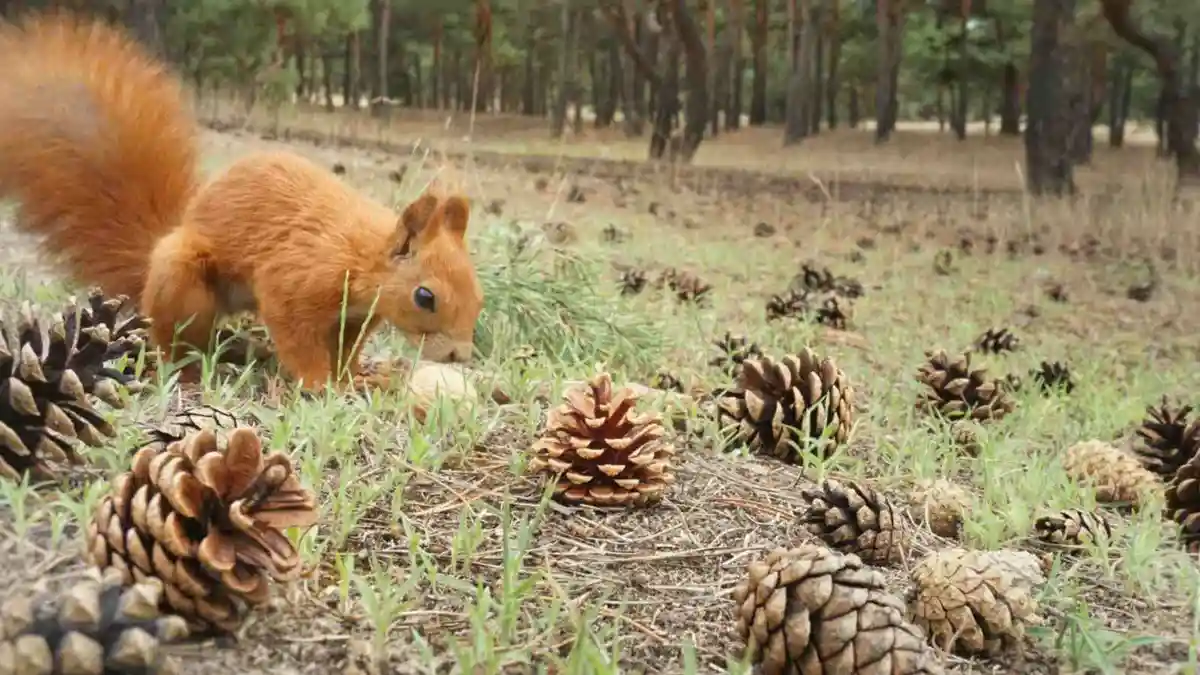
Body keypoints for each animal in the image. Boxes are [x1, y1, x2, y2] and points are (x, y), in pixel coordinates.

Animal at [0, 12, 484, 391]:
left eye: (478, 294)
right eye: (425, 296)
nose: (459, 355)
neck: (362, 255)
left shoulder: (351, 319)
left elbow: (346, 350)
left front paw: (350, 379)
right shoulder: (295, 281)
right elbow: (296, 335)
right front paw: (318, 384)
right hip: (185, 284)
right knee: (176, 340)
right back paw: (191, 370)